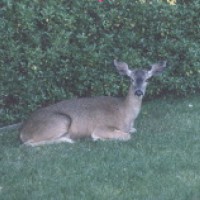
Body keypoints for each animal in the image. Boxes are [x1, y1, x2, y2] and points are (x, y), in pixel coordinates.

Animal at [19, 58, 167, 146]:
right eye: (131, 79)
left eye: (147, 79)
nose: (138, 92)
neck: (126, 113)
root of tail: (23, 131)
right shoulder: (102, 127)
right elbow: (127, 136)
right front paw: (97, 138)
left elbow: (133, 130)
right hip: (61, 121)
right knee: (30, 143)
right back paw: (68, 139)